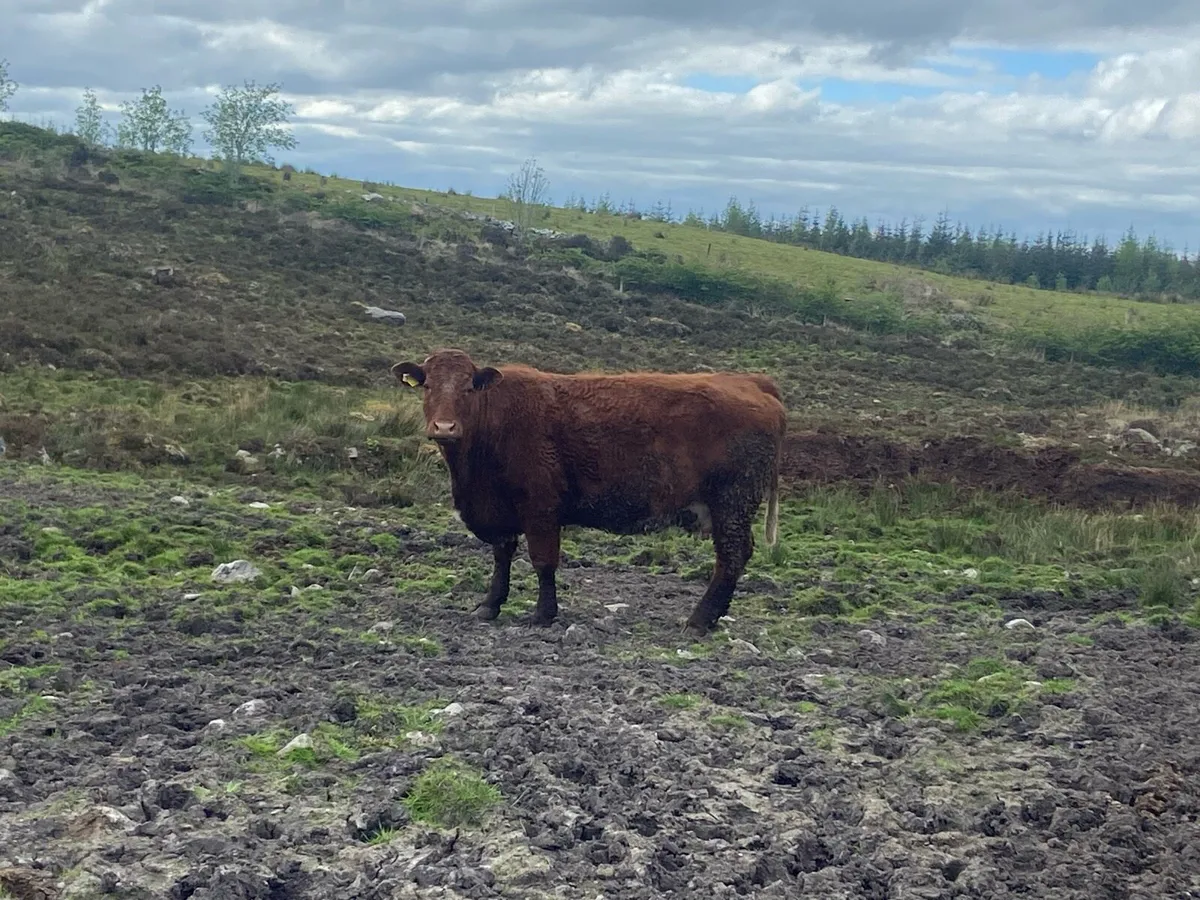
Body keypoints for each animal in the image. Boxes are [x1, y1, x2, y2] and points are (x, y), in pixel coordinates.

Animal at [391, 348, 787, 637]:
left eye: (468, 388)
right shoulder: (500, 510)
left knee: (732, 557)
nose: (445, 427)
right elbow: (501, 557)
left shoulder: (541, 508)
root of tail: (753, 381)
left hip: (732, 502)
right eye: (427, 386)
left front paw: (543, 614)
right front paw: (489, 605)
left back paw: (699, 620)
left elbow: (543, 561)